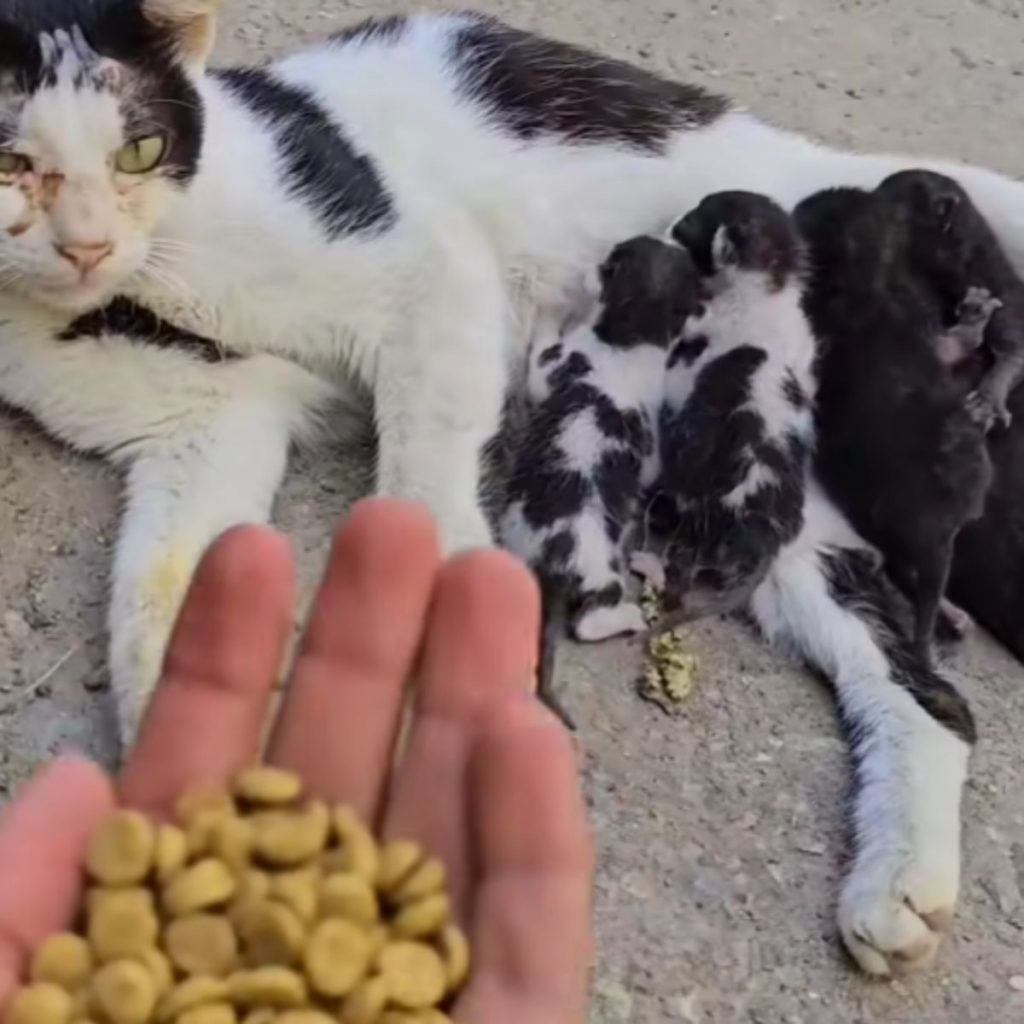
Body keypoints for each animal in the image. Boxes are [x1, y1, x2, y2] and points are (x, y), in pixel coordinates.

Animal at [794, 184, 995, 663]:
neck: (851, 282)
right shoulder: (931, 337)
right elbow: (959, 342)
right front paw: (977, 316)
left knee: (903, 570)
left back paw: (949, 616)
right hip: (952, 505)